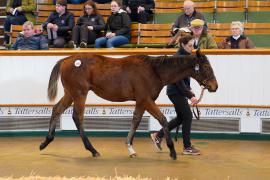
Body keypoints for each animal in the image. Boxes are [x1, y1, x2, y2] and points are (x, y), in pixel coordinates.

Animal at [39, 50, 217, 160]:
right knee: (78, 117)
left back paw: (45, 142)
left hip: (70, 94)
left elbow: (136, 120)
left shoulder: (141, 102)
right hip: (79, 94)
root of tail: (66, 60)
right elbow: (163, 119)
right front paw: (172, 150)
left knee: (56, 109)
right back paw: (92, 150)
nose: (215, 86)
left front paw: (130, 148)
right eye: (206, 66)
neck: (154, 71)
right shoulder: (146, 99)